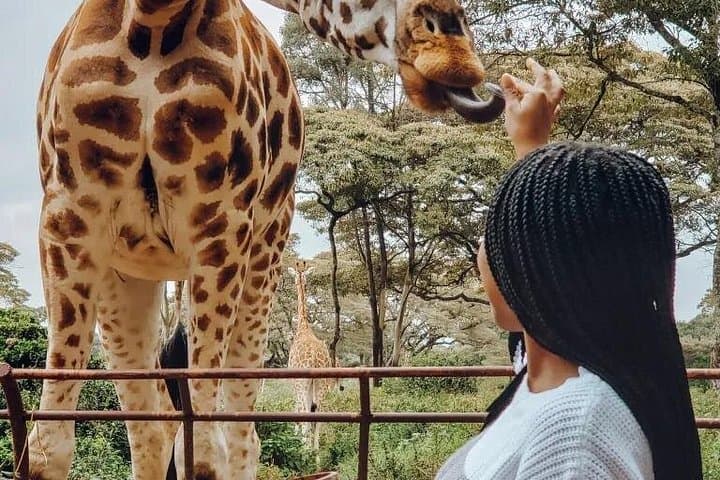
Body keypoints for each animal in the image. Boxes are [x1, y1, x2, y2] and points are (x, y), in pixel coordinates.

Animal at [31, 0, 504, 479]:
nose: (458, 58)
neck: (152, 24)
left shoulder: (220, 224)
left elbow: (204, 451)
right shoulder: (67, 218)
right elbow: (47, 447)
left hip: (263, 253)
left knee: (240, 435)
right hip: (129, 272)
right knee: (156, 428)